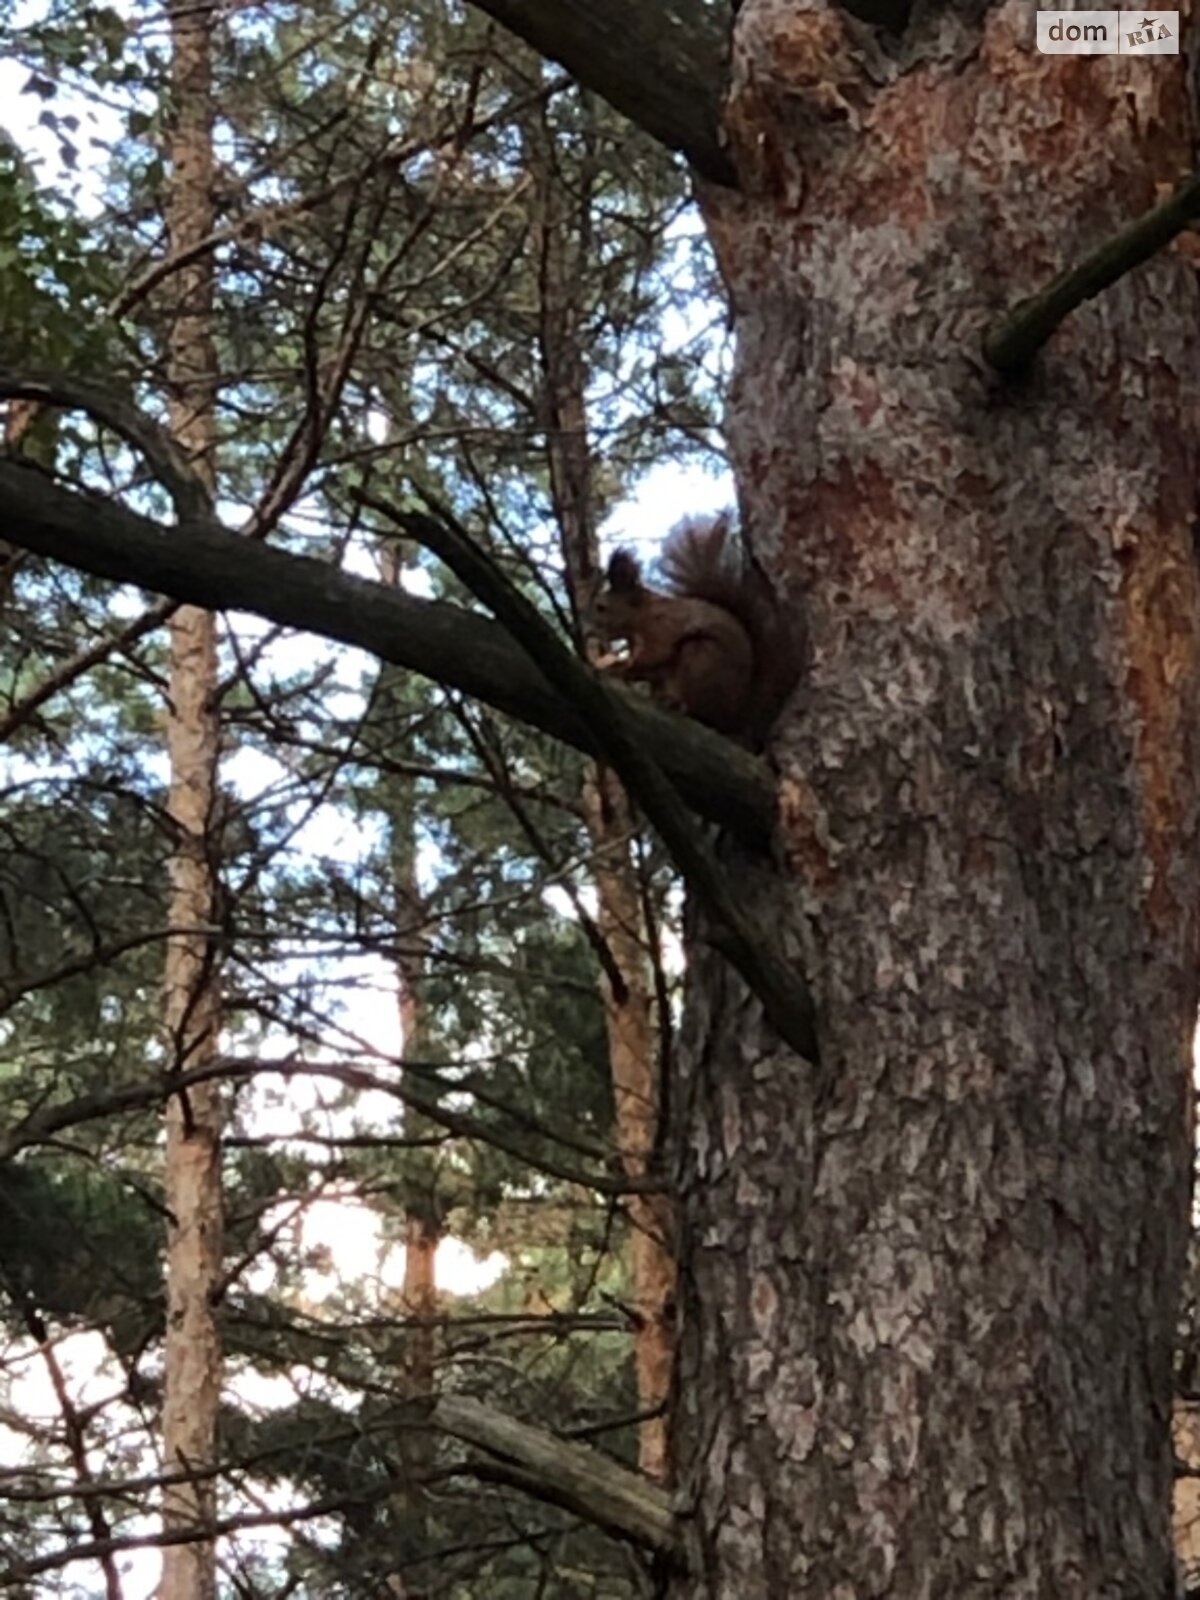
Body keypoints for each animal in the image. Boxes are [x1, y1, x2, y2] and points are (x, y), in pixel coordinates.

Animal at [588, 512, 800, 742]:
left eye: (600, 607)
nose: (588, 631)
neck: (641, 615)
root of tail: (734, 718)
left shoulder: (662, 627)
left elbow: (654, 655)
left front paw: (618, 668)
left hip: (700, 659)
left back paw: (676, 704)